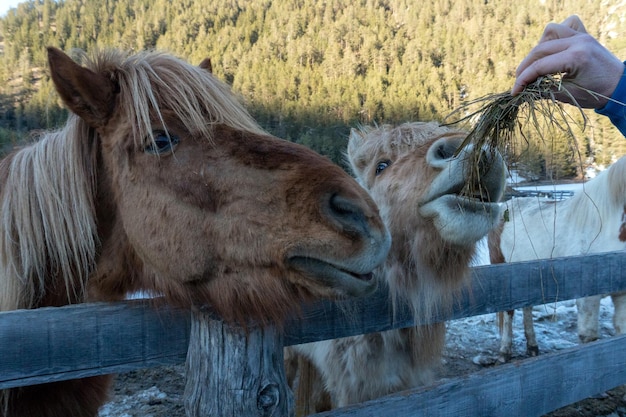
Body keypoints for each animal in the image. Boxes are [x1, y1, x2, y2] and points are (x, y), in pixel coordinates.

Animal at [490, 154, 624, 360]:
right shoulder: (588, 298)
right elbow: (590, 339)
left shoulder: (622, 295)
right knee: (508, 313)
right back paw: (505, 351)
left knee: (526, 307)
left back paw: (532, 347)